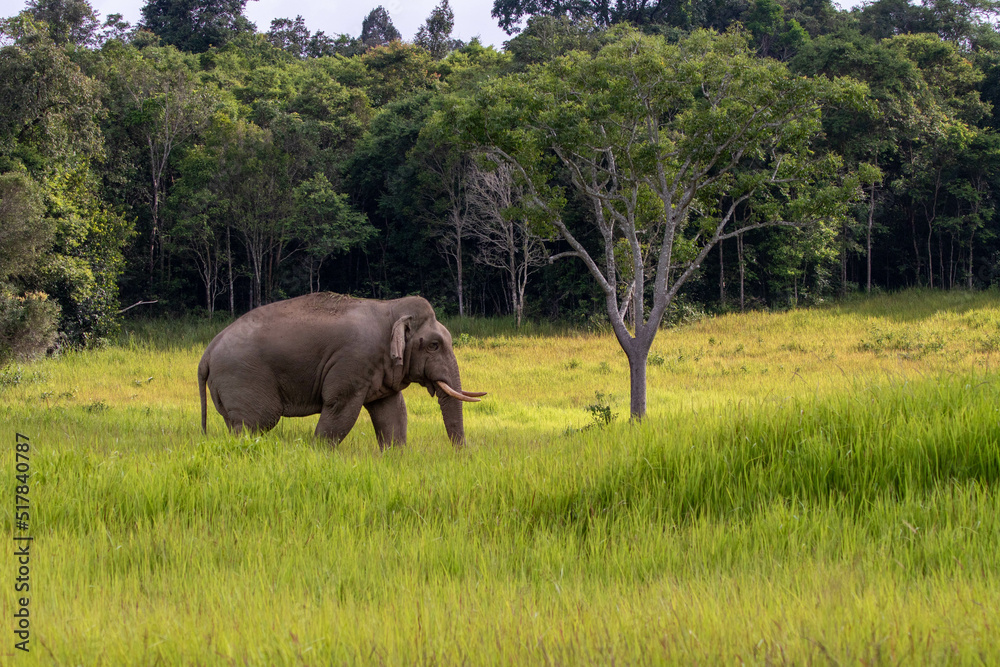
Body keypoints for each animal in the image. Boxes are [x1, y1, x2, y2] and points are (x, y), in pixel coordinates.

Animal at [197, 293, 485, 447]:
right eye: (434, 345)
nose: (462, 455)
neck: (389, 307)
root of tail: (207, 353)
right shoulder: (353, 363)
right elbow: (340, 409)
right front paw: (318, 454)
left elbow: (393, 413)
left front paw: (396, 458)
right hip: (243, 378)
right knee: (255, 423)